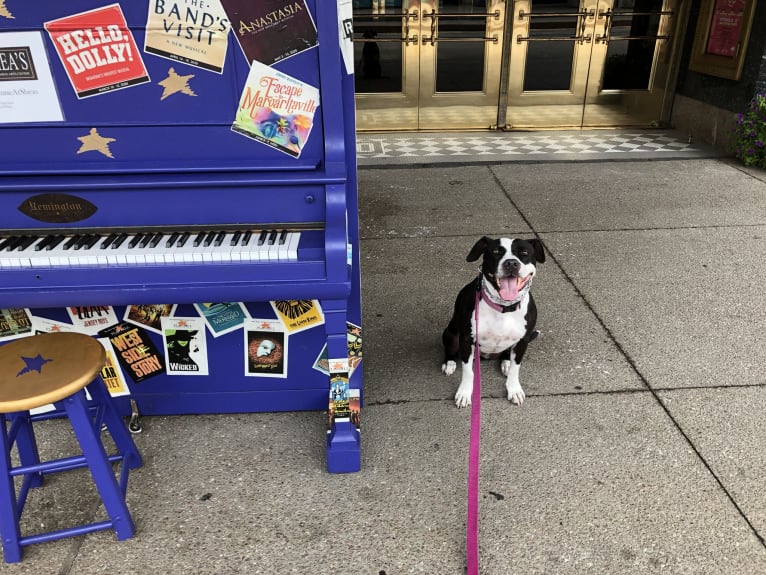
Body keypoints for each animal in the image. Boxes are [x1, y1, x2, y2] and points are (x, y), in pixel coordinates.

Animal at [444, 237, 544, 410]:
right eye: (496, 252)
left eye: (524, 252)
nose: (511, 263)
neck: (504, 307)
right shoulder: (467, 340)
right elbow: (468, 371)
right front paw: (464, 393)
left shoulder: (523, 341)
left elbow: (516, 369)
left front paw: (514, 389)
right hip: (452, 334)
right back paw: (449, 363)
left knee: (507, 355)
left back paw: (506, 363)